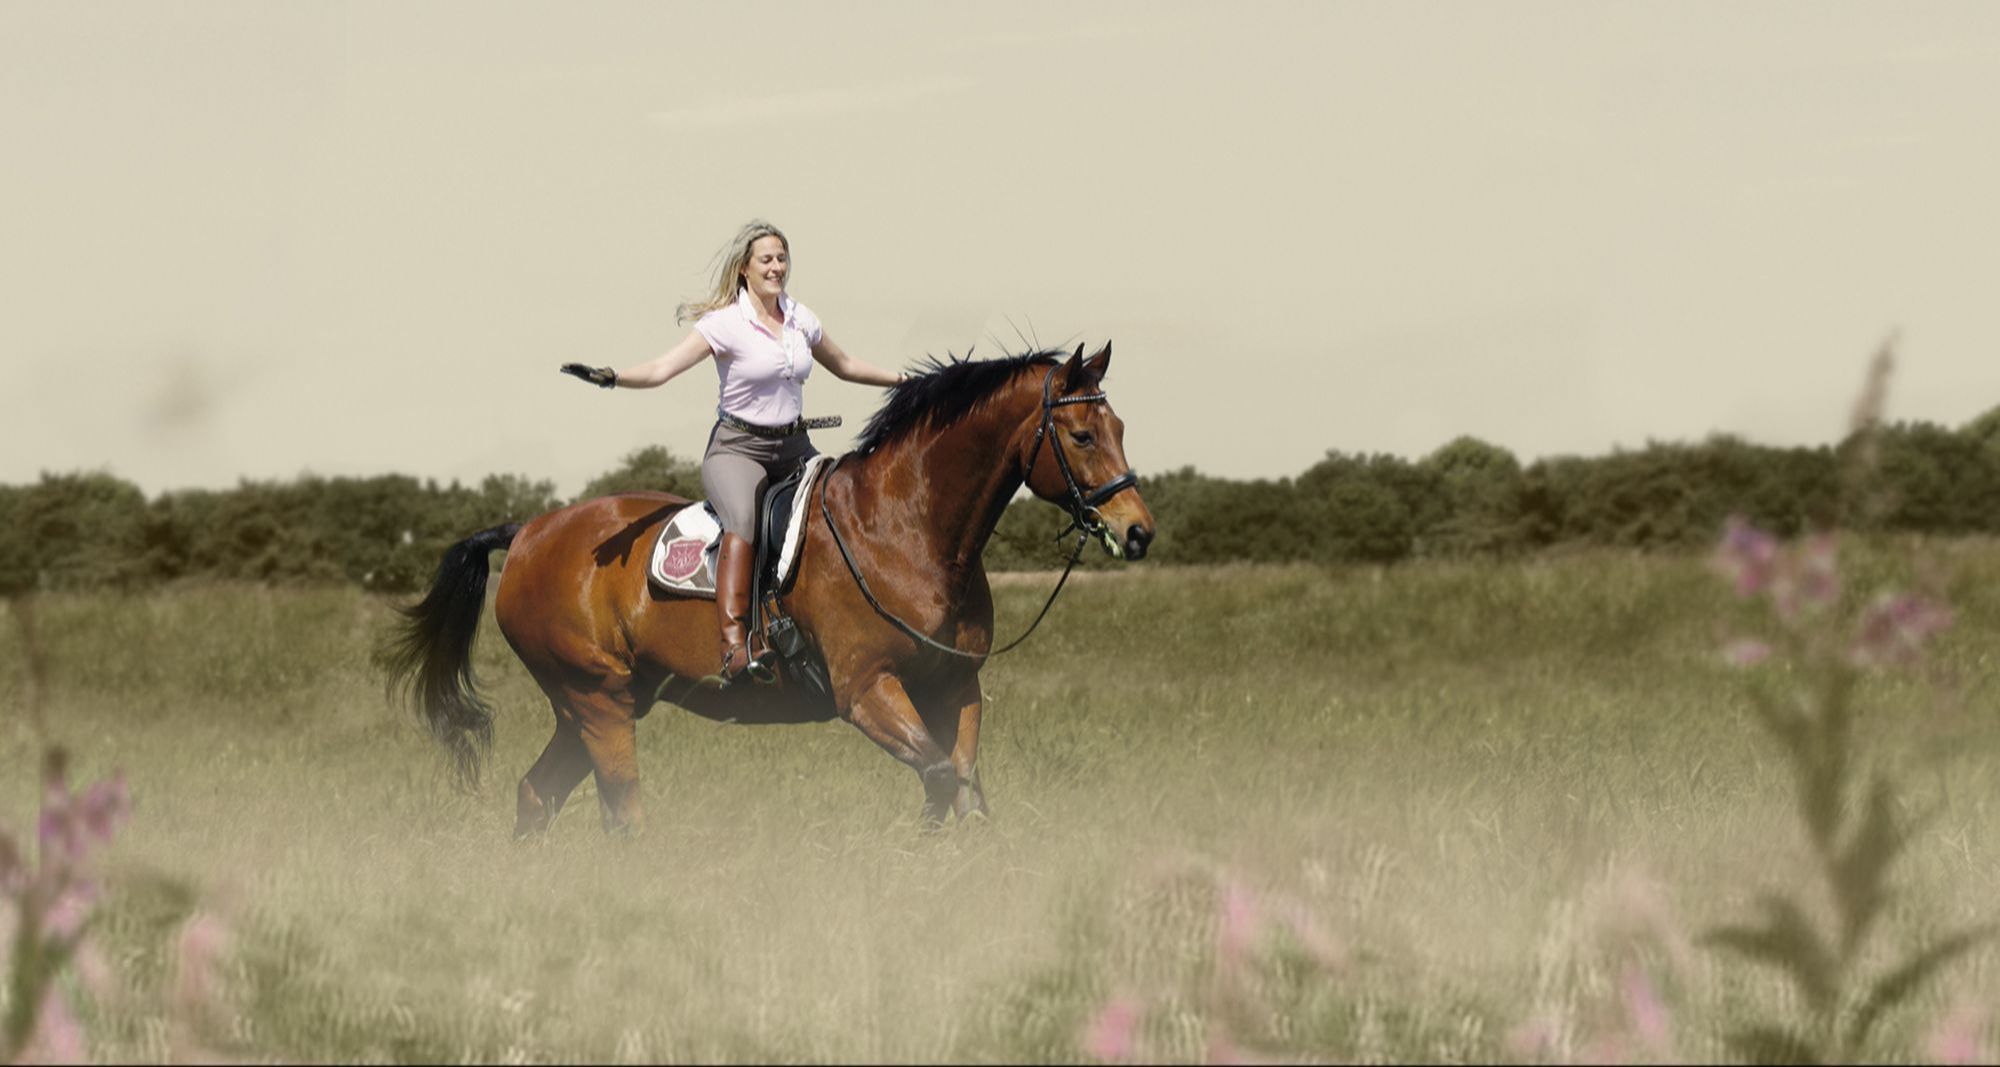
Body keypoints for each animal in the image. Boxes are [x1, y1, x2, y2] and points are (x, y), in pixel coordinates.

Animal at [380, 342, 1154, 835]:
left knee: (538, 795)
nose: (1138, 529)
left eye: (1118, 424)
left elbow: (966, 792)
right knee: (621, 809)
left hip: (594, 703)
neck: (907, 527)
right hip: (595, 696)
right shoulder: (867, 690)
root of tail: (529, 531)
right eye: (1081, 435)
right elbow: (940, 779)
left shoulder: (955, 687)